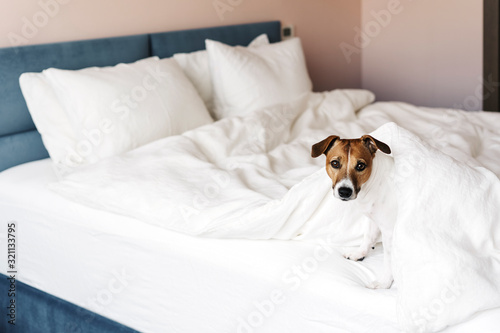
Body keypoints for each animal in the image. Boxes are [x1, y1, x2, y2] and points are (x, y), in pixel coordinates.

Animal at [310, 134, 396, 288]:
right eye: (335, 163)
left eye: (360, 166)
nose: (345, 191)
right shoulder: (374, 219)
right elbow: (368, 237)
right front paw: (359, 253)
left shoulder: (390, 231)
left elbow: (389, 259)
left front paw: (384, 282)